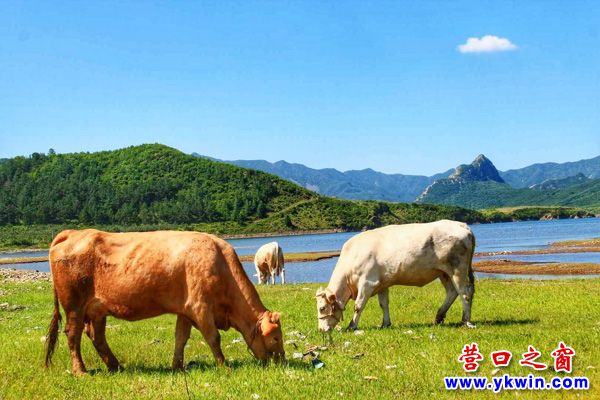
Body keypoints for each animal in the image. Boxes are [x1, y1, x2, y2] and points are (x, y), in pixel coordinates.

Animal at [45, 229, 285, 375]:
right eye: (275, 337)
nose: (281, 361)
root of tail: (73, 233)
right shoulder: (200, 307)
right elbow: (213, 338)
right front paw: (224, 366)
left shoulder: (186, 310)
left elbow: (181, 338)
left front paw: (177, 366)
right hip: (74, 305)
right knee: (73, 335)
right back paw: (81, 371)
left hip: (97, 310)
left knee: (96, 336)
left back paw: (116, 366)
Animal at [316, 220, 476, 333]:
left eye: (322, 308)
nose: (321, 330)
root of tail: (462, 225)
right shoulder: (381, 283)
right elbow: (383, 304)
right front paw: (385, 324)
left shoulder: (368, 282)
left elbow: (358, 306)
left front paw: (352, 326)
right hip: (443, 272)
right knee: (452, 291)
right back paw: (439, 316)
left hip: (457, 268)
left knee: (465, 292)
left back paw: (466, 321)